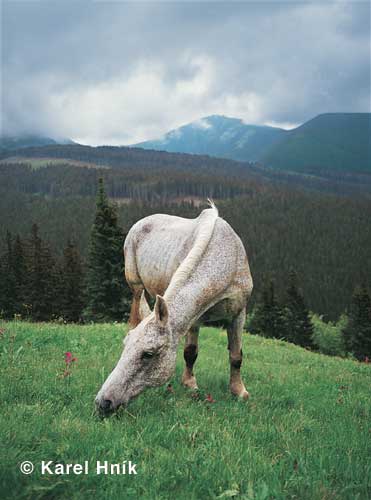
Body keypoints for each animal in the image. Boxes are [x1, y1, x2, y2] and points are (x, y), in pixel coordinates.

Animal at [96, 203, 254, 414]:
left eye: (148, 354)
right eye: (125, 347)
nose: (103, 402)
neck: (225, 258)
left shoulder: (238, 313)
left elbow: (236, 356)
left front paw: (239, 392)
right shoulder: (195, 318)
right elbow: (190, 352)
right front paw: (190, 385)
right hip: (136, 286)